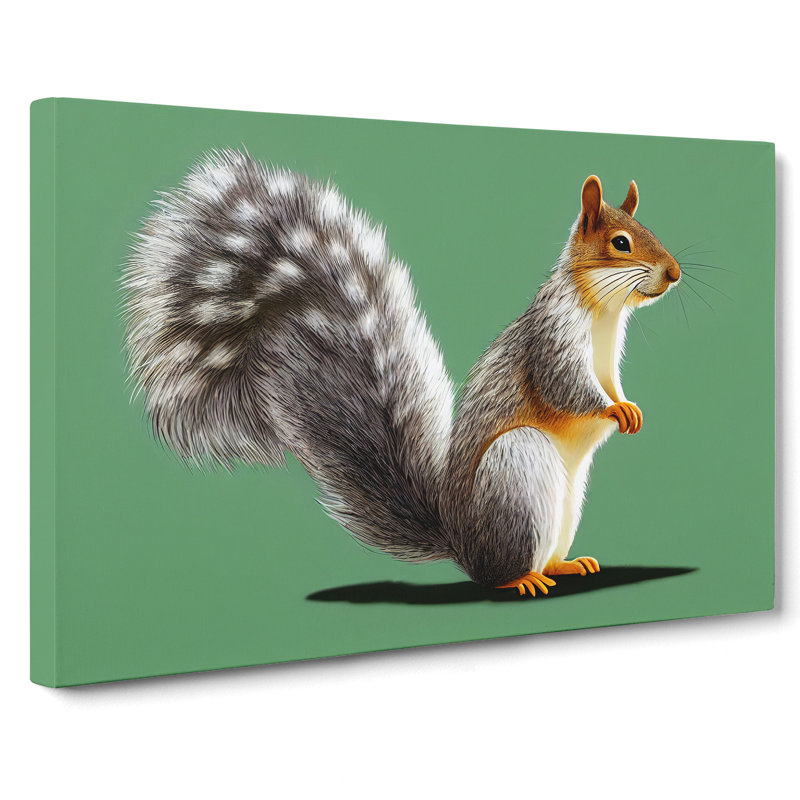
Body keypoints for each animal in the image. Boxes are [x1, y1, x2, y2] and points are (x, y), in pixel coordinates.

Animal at [123, 150, 680, 596]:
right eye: (622, 243)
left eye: (652, 231)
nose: (674, 273)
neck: (604, 311)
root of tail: (462, 542)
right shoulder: (552, 337)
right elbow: (565, 386)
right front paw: (616, 409)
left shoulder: (608, 358)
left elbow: (608, 382)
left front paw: (625, 405)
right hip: (518, 465)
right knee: (497, 572)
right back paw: (521, 578)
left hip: (569, 498)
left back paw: (564, 565)